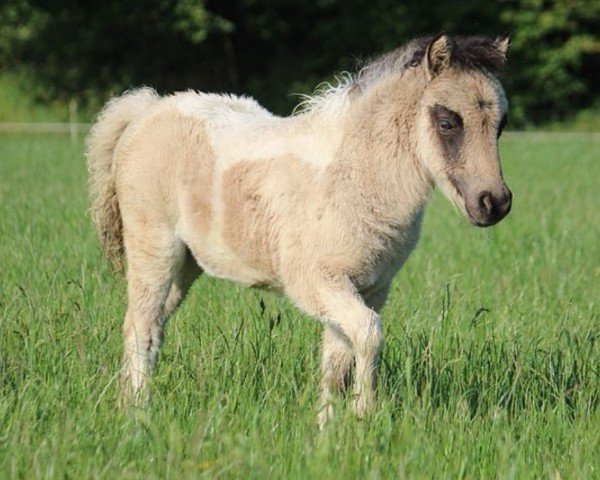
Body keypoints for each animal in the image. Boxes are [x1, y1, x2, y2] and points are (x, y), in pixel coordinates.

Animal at [88, 33, 510, 426]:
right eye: (447, 122)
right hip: (154, 248)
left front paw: (328, 431)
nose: (494, 203)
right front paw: (363, 414)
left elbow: (337, 361)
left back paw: (128, 402)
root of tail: (147, 111)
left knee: (154, 324)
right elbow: (369, 335)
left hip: (185, 264)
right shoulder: (317, 282)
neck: (353, 177)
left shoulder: (368, 288)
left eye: (500, 126)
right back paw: (137, 413)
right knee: (140, 326)